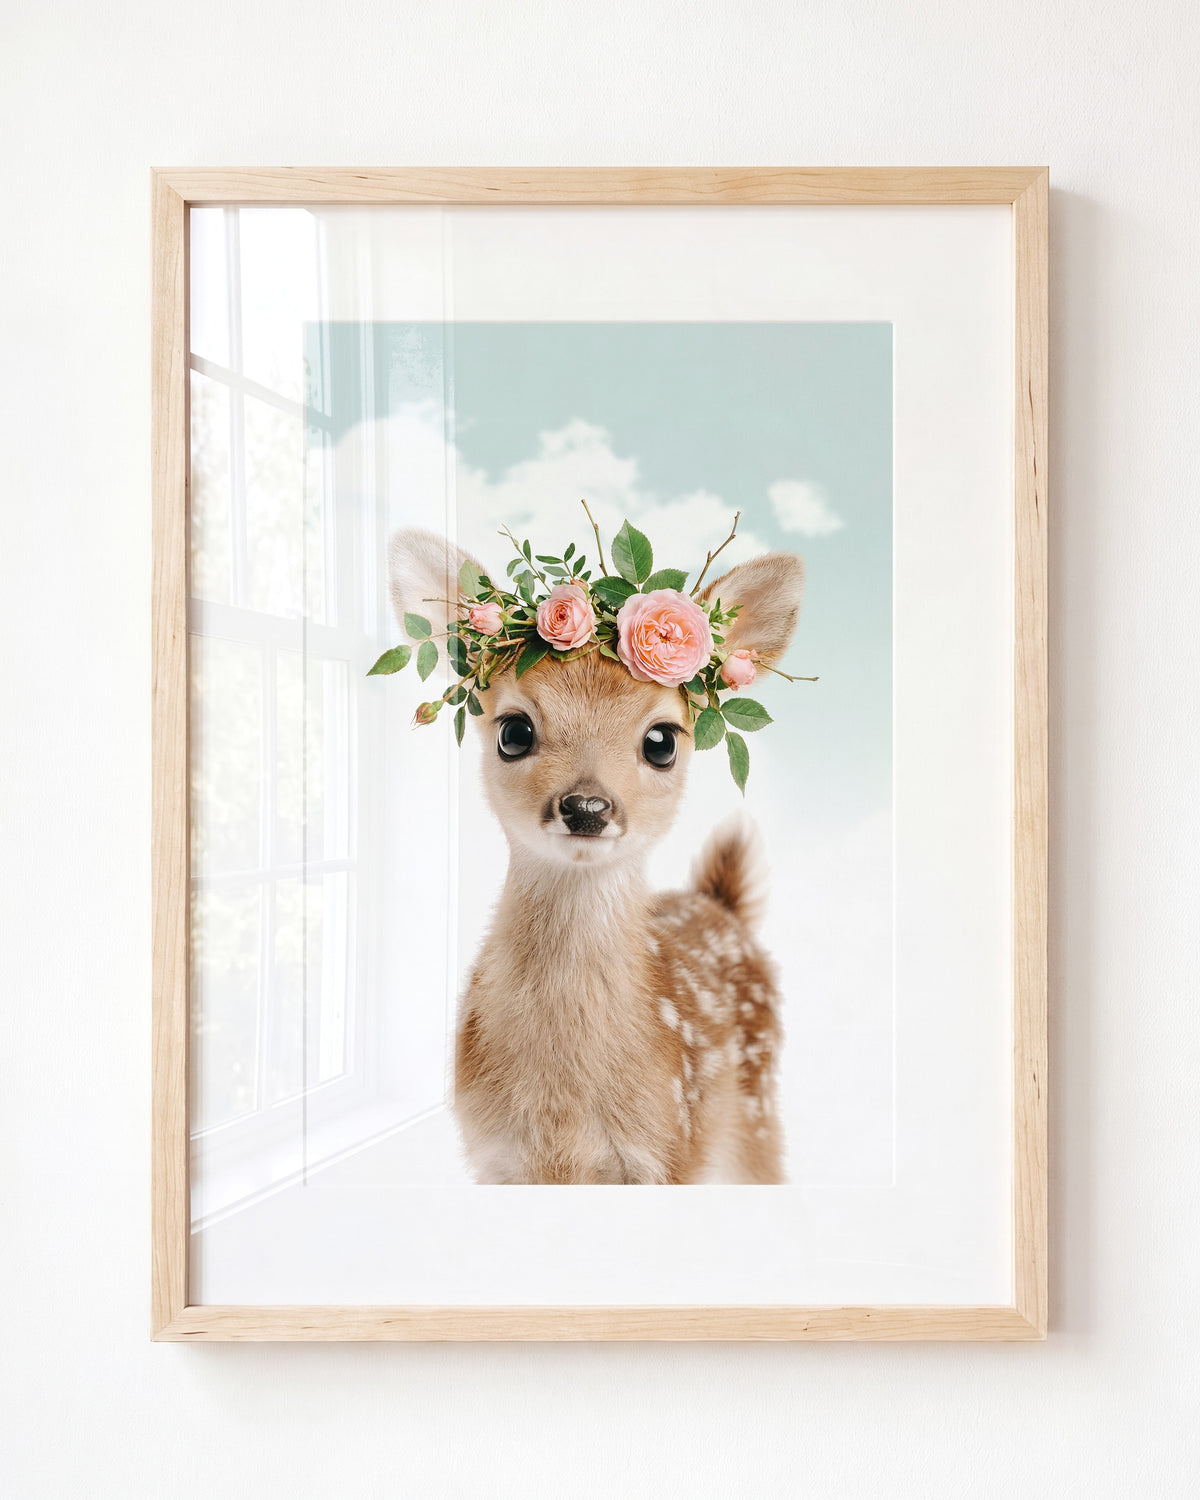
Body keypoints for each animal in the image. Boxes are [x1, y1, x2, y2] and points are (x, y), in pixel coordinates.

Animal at [389, 526, 805, 1184]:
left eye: (662, 741)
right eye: (513, 731)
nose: (586, 806)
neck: (564, 1114)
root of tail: (722, 906)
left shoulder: (668, 1150)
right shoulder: (495, 1158)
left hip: (755, 1114)